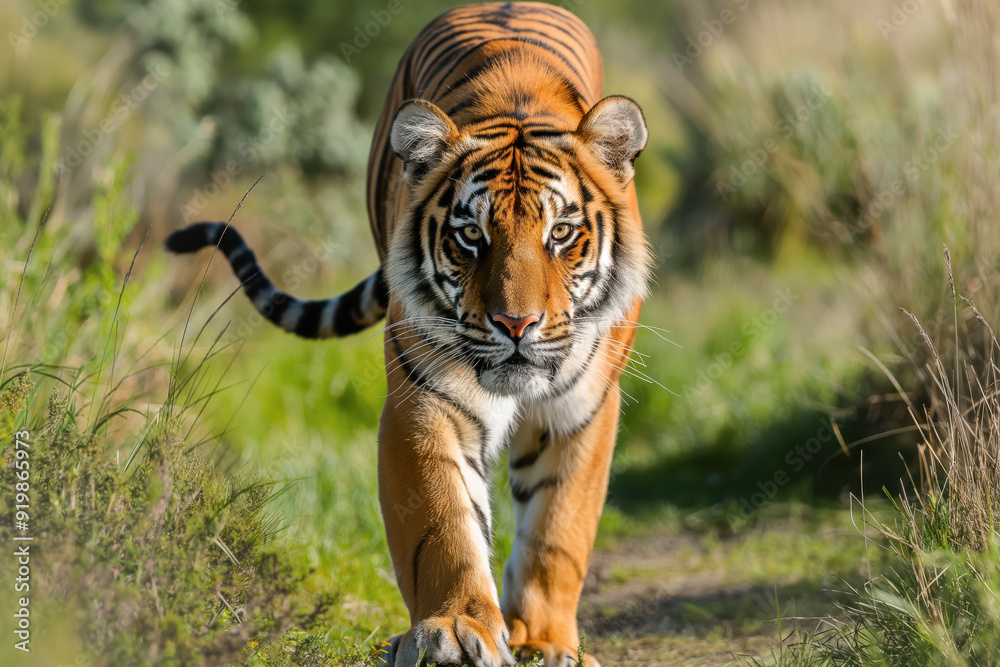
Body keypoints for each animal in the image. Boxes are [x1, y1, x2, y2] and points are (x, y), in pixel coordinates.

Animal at [166, 2, 651, 665]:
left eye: (560, 234)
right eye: (471, 236)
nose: (516, 324)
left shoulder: (583, 408)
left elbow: (559, 528)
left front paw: (545, 641)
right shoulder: (424, 400)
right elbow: (442, 521)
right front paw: (455, 628)